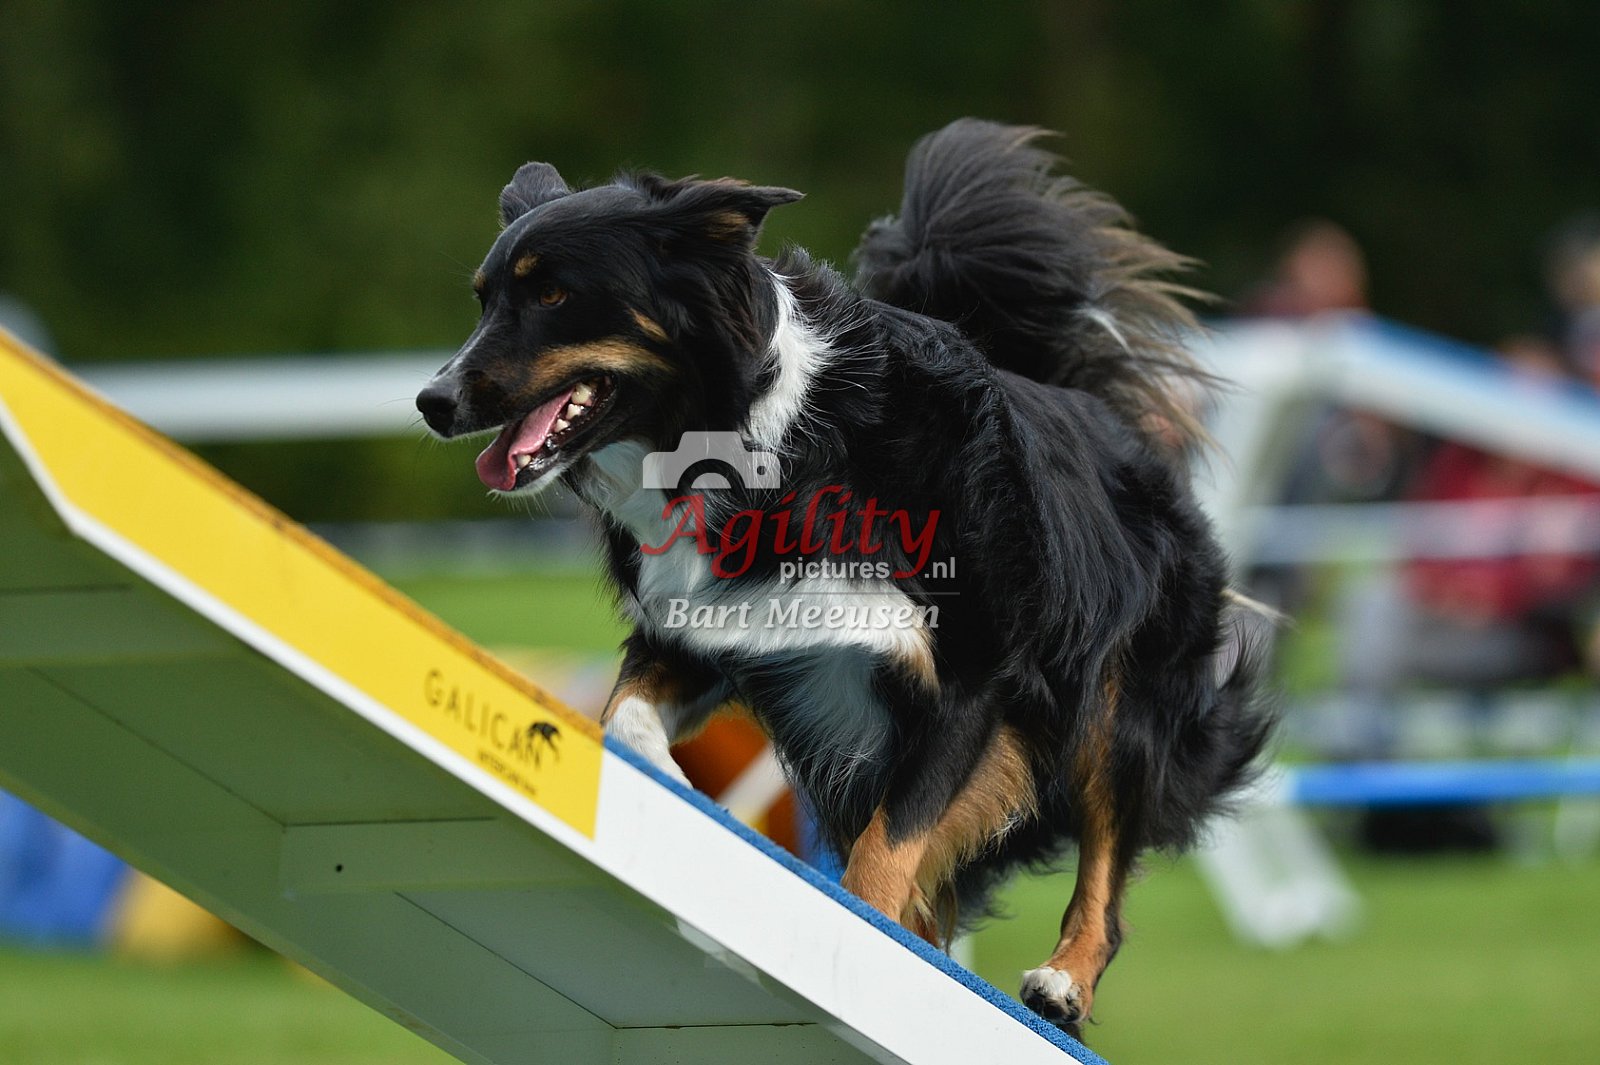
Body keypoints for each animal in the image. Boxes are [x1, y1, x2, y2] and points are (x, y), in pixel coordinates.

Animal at [416, 119, 1272, 1037]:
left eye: (553, 295)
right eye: (484, 298)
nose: (432, 401)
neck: (763, 445)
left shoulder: (970, 681)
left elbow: (882, 856)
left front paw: (865, 949)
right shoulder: (708, 629)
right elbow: (622, 717)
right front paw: (676, 790)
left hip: (1115, 708)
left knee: (1103, 869)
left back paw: (1063, 981)